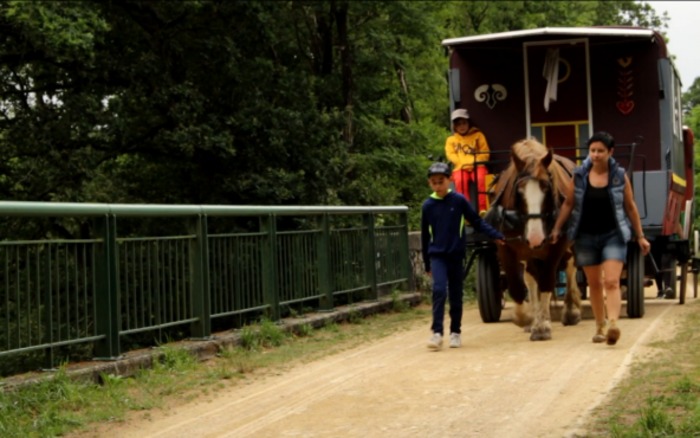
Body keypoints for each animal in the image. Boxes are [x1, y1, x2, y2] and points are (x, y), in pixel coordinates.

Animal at [486, 139, 580, 340]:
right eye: (519, 191)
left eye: (546, 188)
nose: (536, 238)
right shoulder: (505, 248)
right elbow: (517, 286)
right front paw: (528, 319)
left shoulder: (555, 248)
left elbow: (546, 280)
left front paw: (542, 326)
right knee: (530, 278)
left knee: (570, 268)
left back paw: (571, 310)